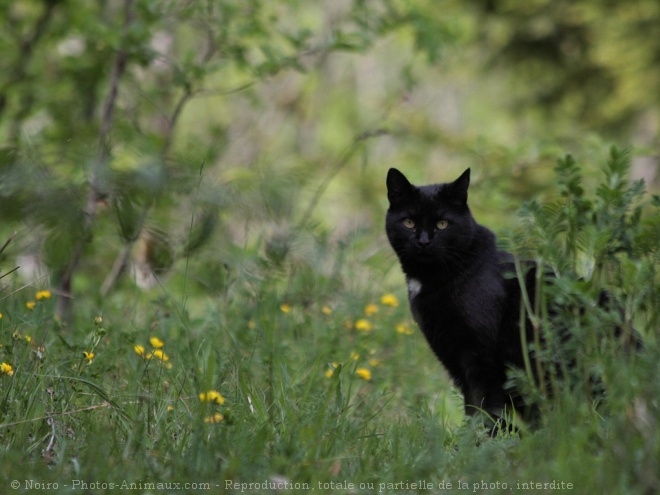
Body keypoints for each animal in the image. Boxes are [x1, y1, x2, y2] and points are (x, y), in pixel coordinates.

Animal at [384, 169, 544, 428]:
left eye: (442, 224)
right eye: (409, 222)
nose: (424, 241)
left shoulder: (481, 357)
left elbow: (486, 405)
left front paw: (483, 437)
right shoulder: (452, 356)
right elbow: (472, 405)